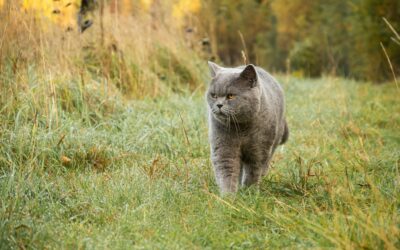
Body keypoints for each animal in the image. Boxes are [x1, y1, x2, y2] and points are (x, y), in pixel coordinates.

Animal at [206, 61, 288, 193]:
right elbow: (227, 171)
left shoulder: (258, 150)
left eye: (230, 96)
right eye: (213, 95)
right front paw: (228, 195)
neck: (241, 129)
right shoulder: (224, 147)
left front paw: (250, 192)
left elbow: (253, 171)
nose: (218, 105)